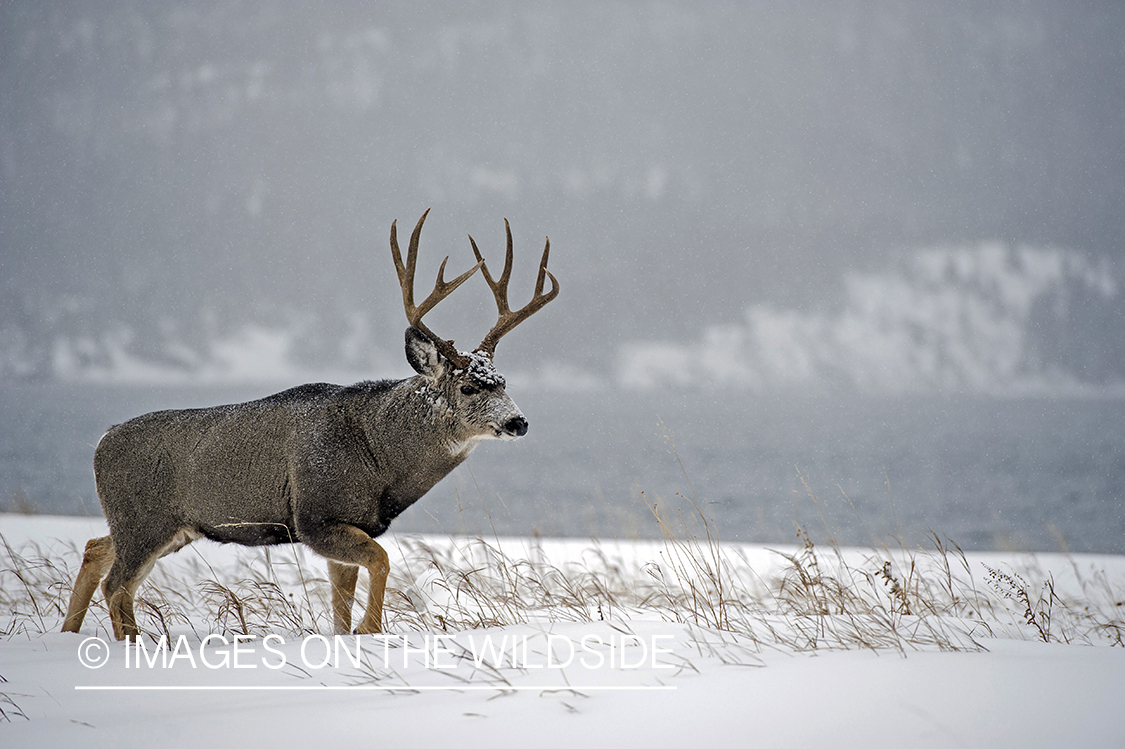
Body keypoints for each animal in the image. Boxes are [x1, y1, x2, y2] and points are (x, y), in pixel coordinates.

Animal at [61, 209, 558, 640]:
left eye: (503, 381)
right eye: (470, 387)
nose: (519, 422)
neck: (379, 457)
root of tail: (100, 443)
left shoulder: (353, 523)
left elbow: (342, 601)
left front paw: (350, 635)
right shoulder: (315, 516)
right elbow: (381, 561)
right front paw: (369, 631)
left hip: (167, 527)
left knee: (96, 550)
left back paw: (72, 633)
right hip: (145, 518)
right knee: (117, 583)